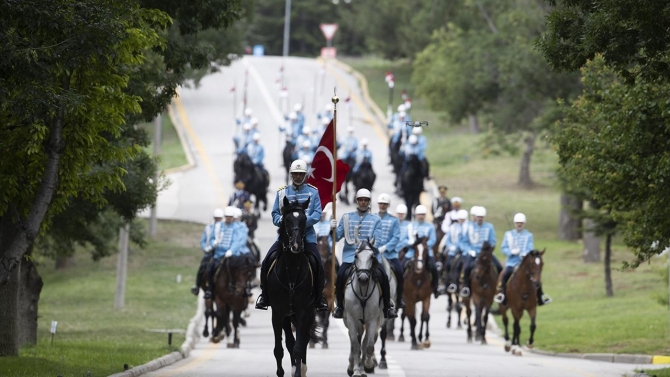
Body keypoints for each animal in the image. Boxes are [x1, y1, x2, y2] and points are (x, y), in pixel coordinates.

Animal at [270, 197, 318, 376]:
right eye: (287, 221)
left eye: (304, 220)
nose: (296, 245)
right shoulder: (277, 312)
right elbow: (279, 349)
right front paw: (281, 372)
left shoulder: (303, 311)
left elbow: (299, 346)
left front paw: (298, 371)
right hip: (287, 316)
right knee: (290, 341)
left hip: (307, 312)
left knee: (303, 340)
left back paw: (301, 368)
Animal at [346, 239, 384, 374]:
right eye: (355, 256)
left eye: (372, 256)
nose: (363, 278)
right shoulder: (351, 319)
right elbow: (355, 346)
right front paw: (356, 371)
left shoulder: (372, 320)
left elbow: (368, 346)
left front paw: (367, 366)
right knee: (355, 340)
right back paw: (353, 366)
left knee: (364, 341)